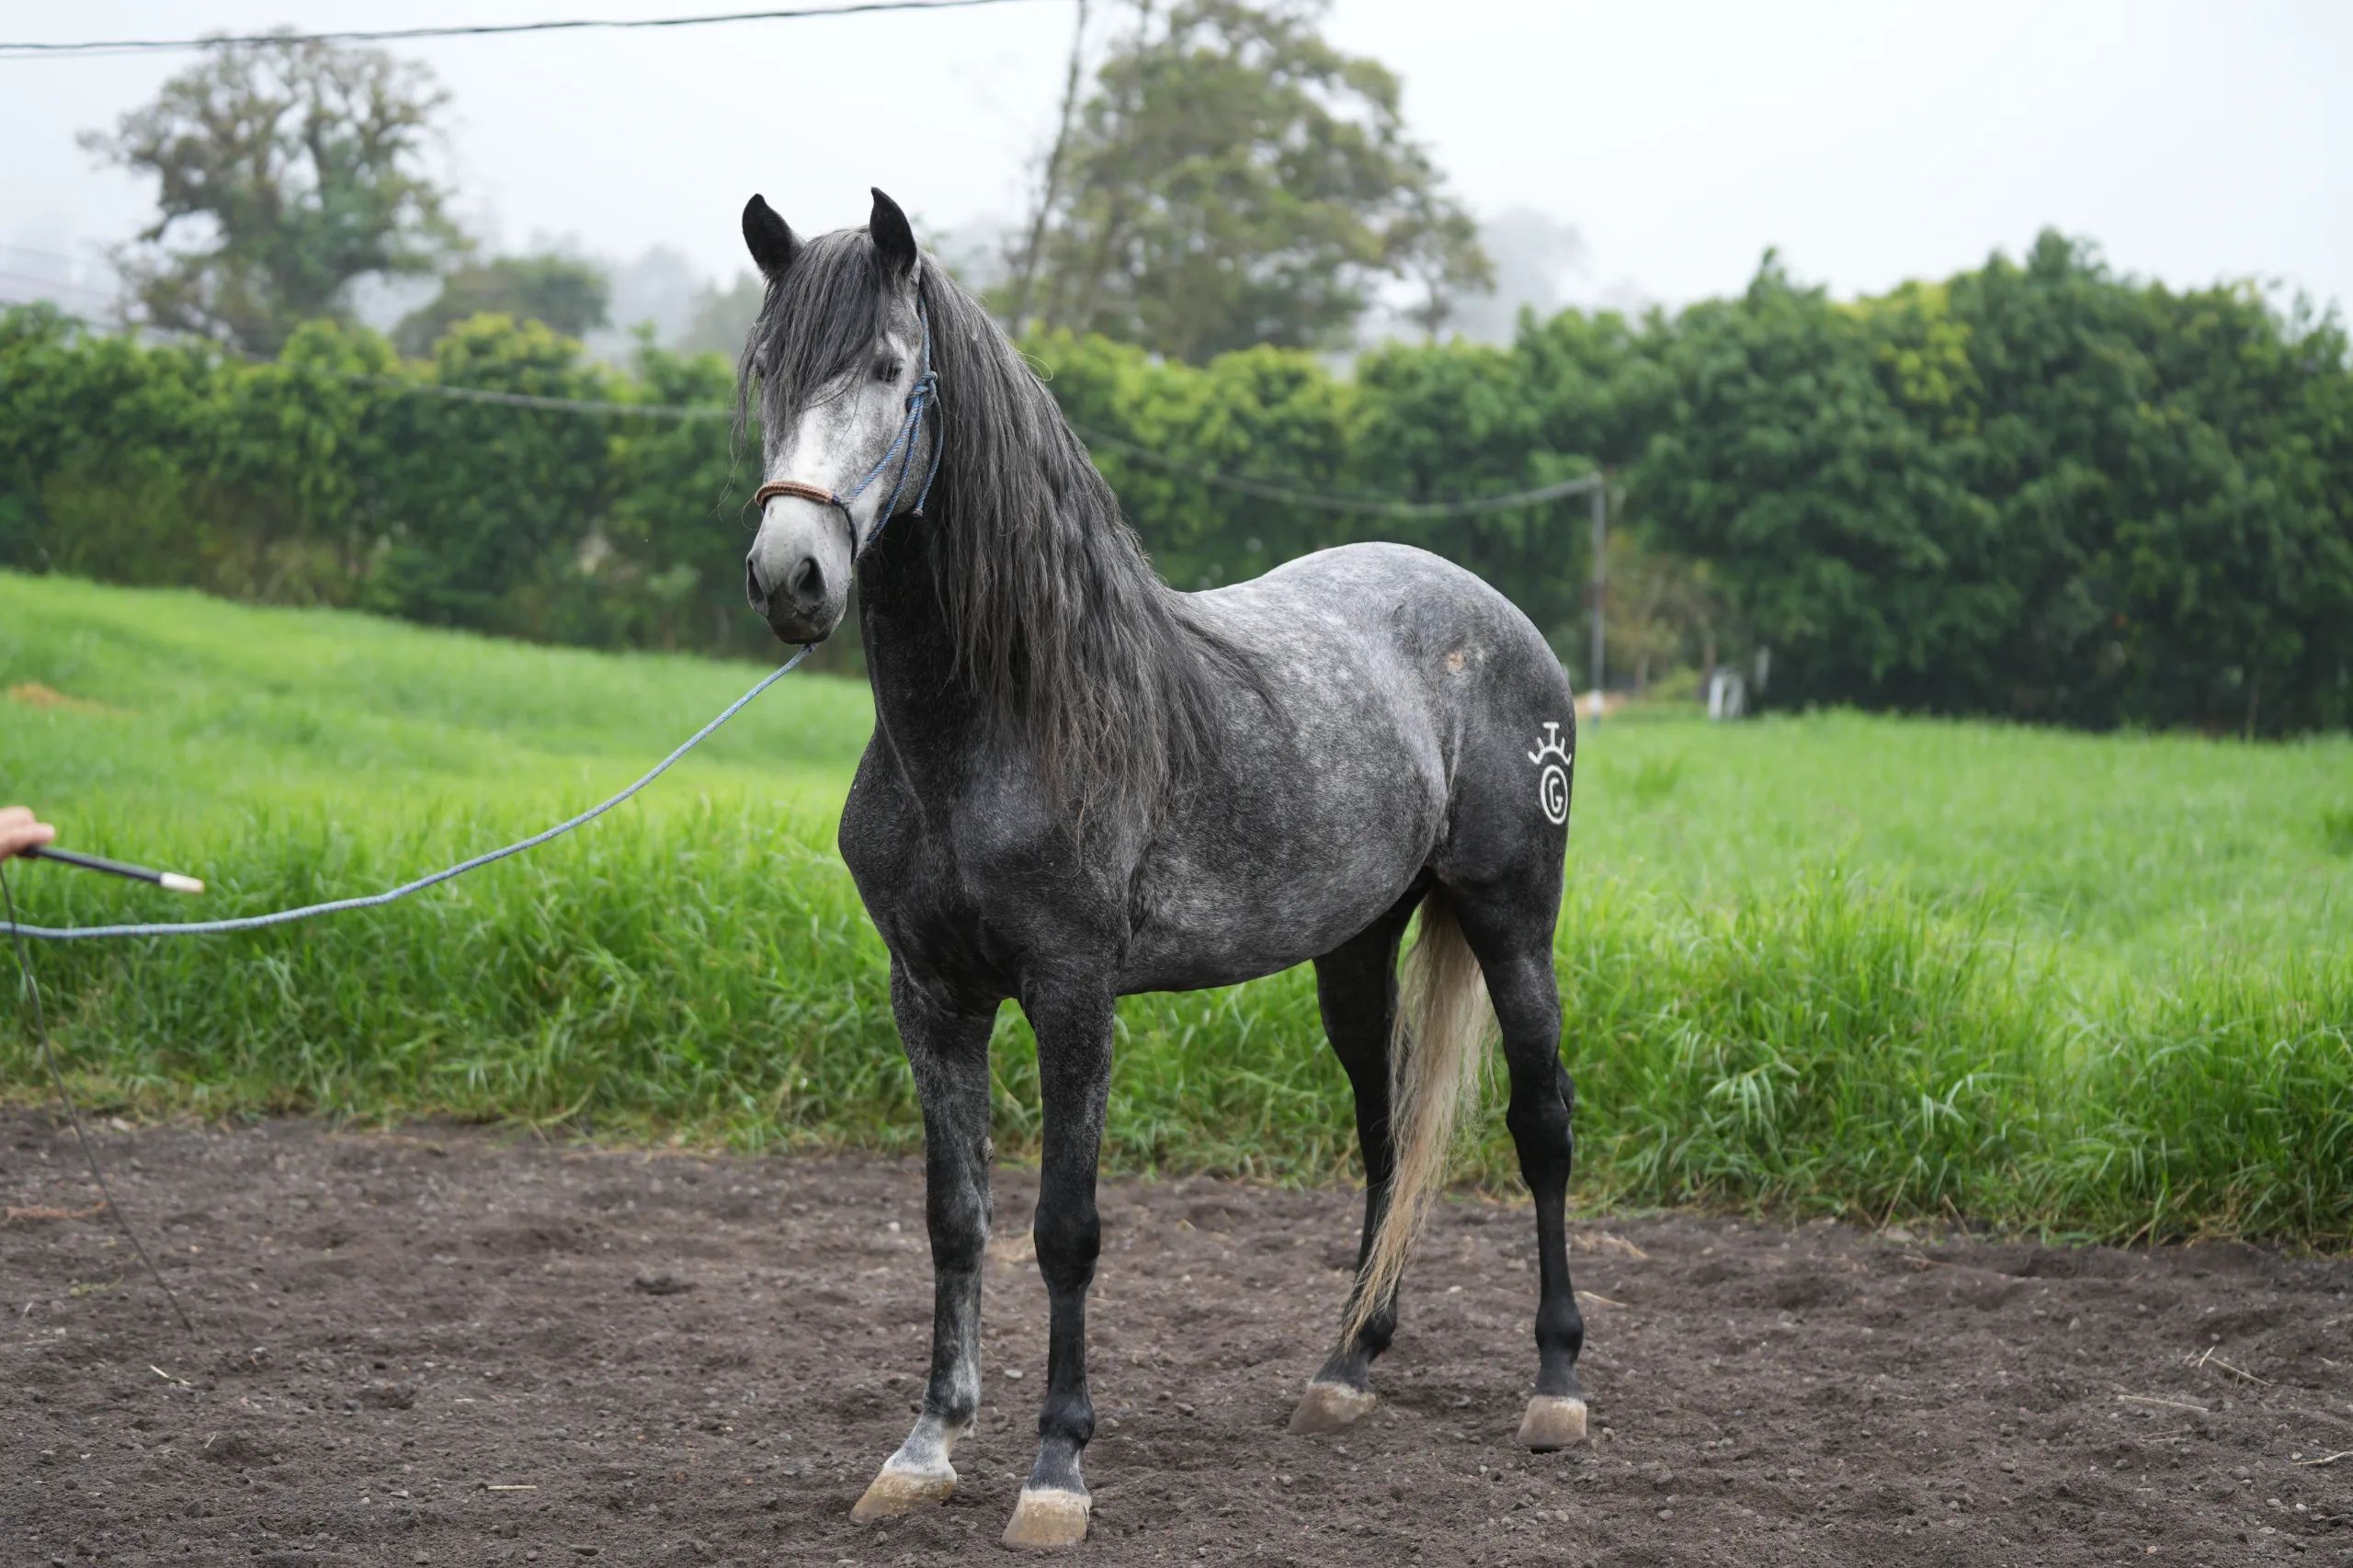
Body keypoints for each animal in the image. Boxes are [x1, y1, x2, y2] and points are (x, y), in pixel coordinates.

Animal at [737, 188, 1587, 1549]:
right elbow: (955, 1218)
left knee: (1541, 1125)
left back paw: (1556, 1384)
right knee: (1383, 1134)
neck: (1007, 715)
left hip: (1513, 922)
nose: (790, 576)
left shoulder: (1074, 992)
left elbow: (1065, 1227)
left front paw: (1056, 1468)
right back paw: (1345, 1369)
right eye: (767, 369)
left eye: (886, 367)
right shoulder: (930, 994)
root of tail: (1501, 618)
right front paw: (924, 1449)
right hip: (1355, 948)